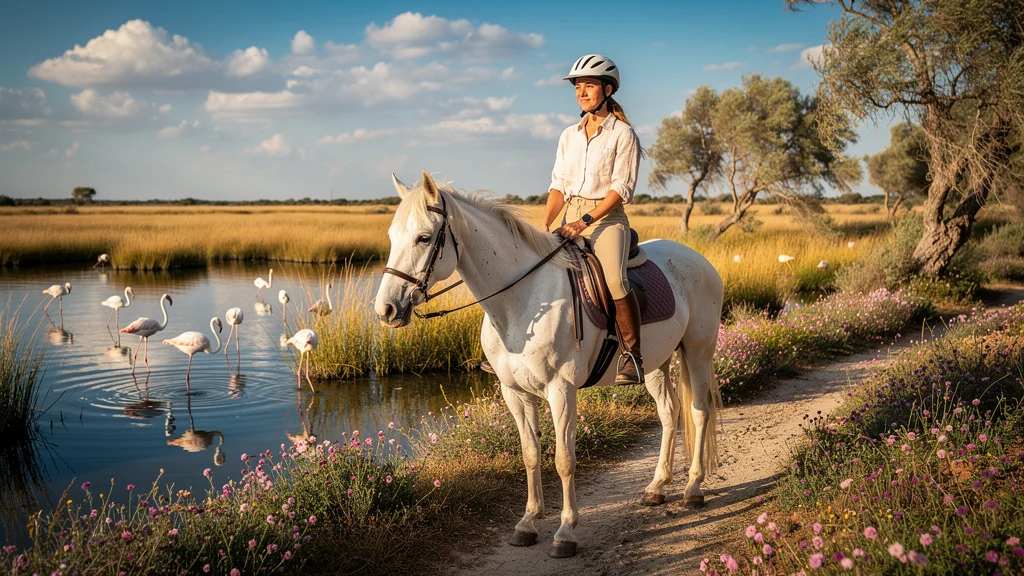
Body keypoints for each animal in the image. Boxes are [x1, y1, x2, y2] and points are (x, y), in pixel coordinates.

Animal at [374, 171, 724, 558]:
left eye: (423, 237)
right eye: (392, 236)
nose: (385, 309)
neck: (522, 302)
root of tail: (698, 259)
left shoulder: (561, 391)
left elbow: (564, 459)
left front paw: (565, 532)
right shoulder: (515, 393)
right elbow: (530, 454)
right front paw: (528, 523)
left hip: (698, 353)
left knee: (699, 413)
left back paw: (693, 490)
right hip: (655, 365)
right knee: (668, 413)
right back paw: (657, 487)